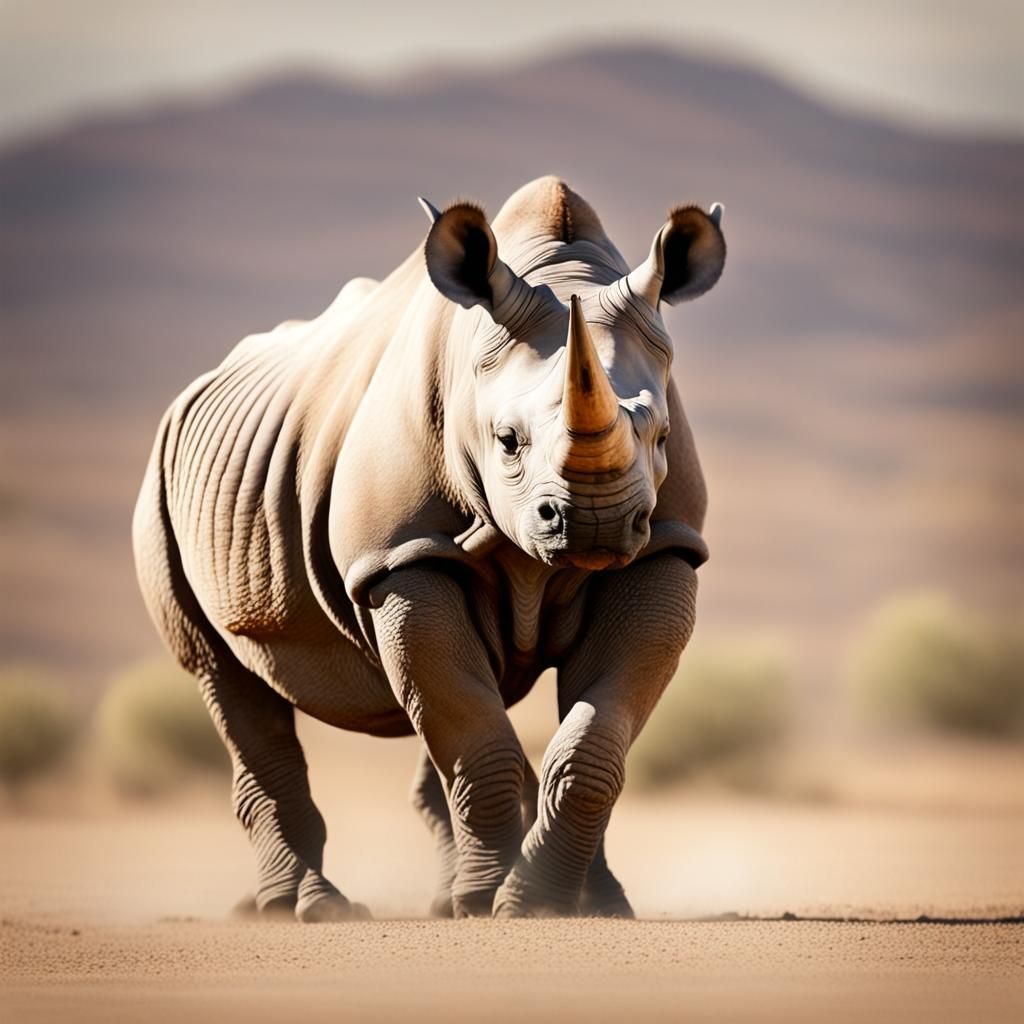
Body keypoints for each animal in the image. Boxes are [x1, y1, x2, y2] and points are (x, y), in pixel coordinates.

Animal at [133, 176, 725, 920]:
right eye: (507, 441)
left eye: (662, 436)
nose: (597, 525)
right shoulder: (403, 555)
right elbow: (472, 732)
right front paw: (496, 903)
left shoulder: (663, 550)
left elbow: (592, 739)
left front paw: (559, 905)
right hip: (161, 483)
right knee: (221, 671)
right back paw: (310, 908)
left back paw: (446, 901)